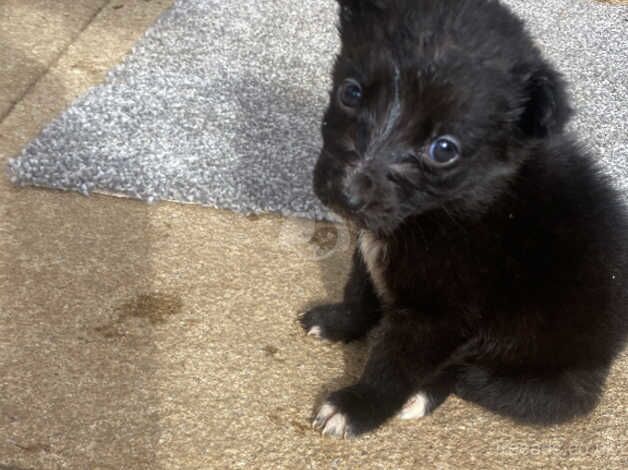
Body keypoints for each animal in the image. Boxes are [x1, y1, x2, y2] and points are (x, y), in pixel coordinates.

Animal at [300, 0, 628, 438]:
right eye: (350, 92)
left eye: (443, 150)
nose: (347, 194)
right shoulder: (370, 252)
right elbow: (360, 291)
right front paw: (339, 323)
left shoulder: (440, 315)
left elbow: (394, 364)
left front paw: (358, 406)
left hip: (542, 377)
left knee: (472, 377)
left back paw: (425, 394)